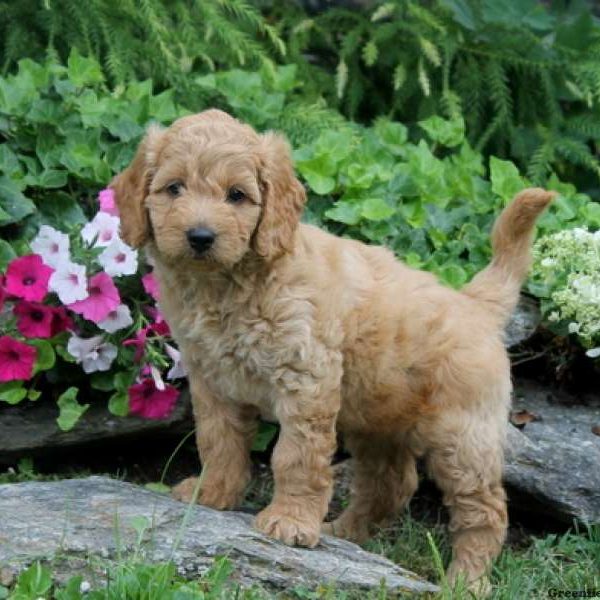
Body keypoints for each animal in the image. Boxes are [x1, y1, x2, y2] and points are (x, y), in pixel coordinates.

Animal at [112, 110, 552, 592]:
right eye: (174, 188)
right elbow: (218, 441)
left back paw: (466, 582)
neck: (227, 286)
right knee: (391, 483)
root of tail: (475, 303)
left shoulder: (305, 378)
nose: (200, 236)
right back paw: (343, 531)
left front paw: (289, 522)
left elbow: (296, 456)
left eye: (237, 195)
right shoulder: (213, 381)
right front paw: (212, 494)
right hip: (376, 416)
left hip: (463, 435)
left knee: (484, 510)